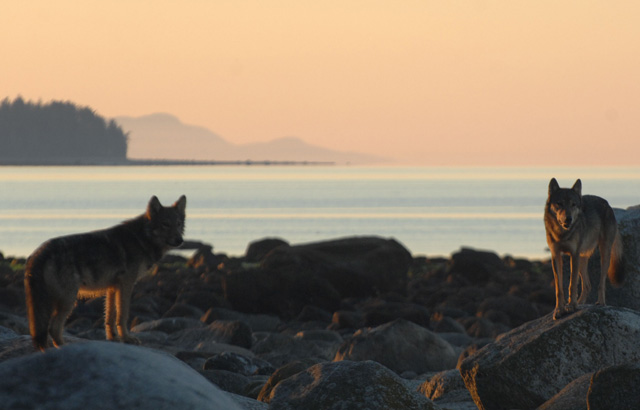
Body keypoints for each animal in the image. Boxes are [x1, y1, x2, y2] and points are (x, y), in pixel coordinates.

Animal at [24, 195, 186, 351]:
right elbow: (122, 315)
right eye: (165, 224)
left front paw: (113, 338)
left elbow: (110, 317)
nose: (180, 240)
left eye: (178, 224)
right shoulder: (126, 284)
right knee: (53, 327)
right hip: (68, 300)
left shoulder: (112, 287)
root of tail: (38, 254)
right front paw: (127, 338)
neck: (142, 238)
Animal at [544, 178, 623, 320]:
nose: (568, 219)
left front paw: (570, 307)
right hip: (582, 259)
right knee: (587, 285)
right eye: (559, 204)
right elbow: (559, 288)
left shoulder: (573, 254)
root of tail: (608, 204)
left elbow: (571, 284)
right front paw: (559, 310)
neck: (562, 233)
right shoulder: (556, 255)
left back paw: (600, 302)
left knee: (601, 283)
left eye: (573, 204)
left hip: (603, 254)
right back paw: (579, 303)